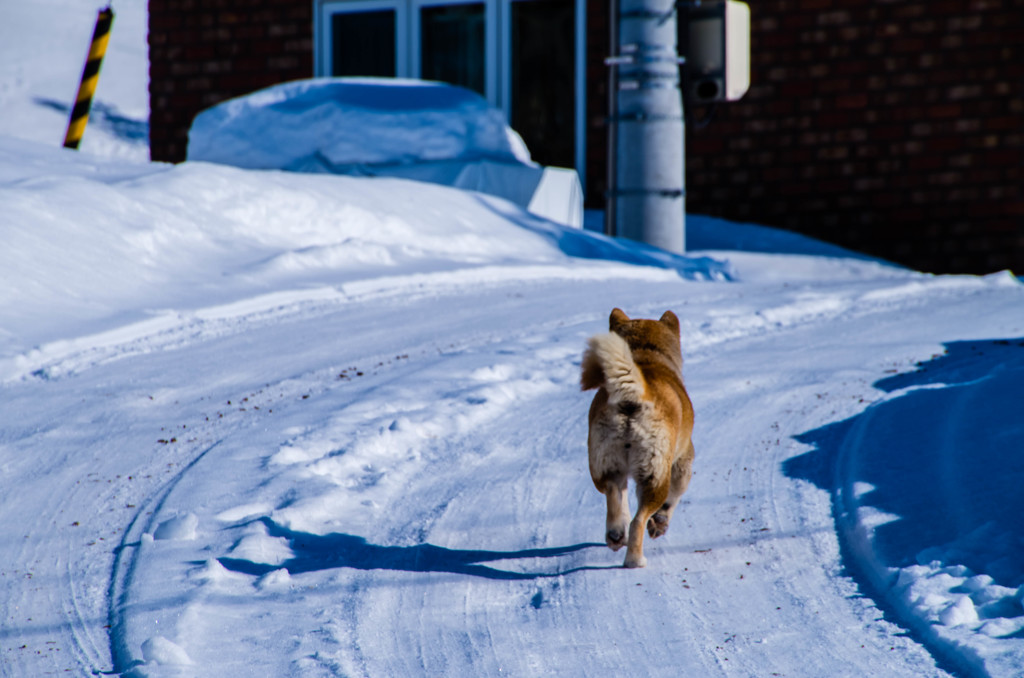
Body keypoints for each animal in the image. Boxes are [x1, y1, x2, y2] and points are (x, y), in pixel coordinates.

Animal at [585, 307, 696, 569]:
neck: (646, 356)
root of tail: (633, 395)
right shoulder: (683, 460)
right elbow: (675, 496)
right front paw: (660, 523)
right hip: (655, 475)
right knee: (639, 519)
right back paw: (636, 560)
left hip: (605, 464)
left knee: (615, 498)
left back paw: (617, 535)